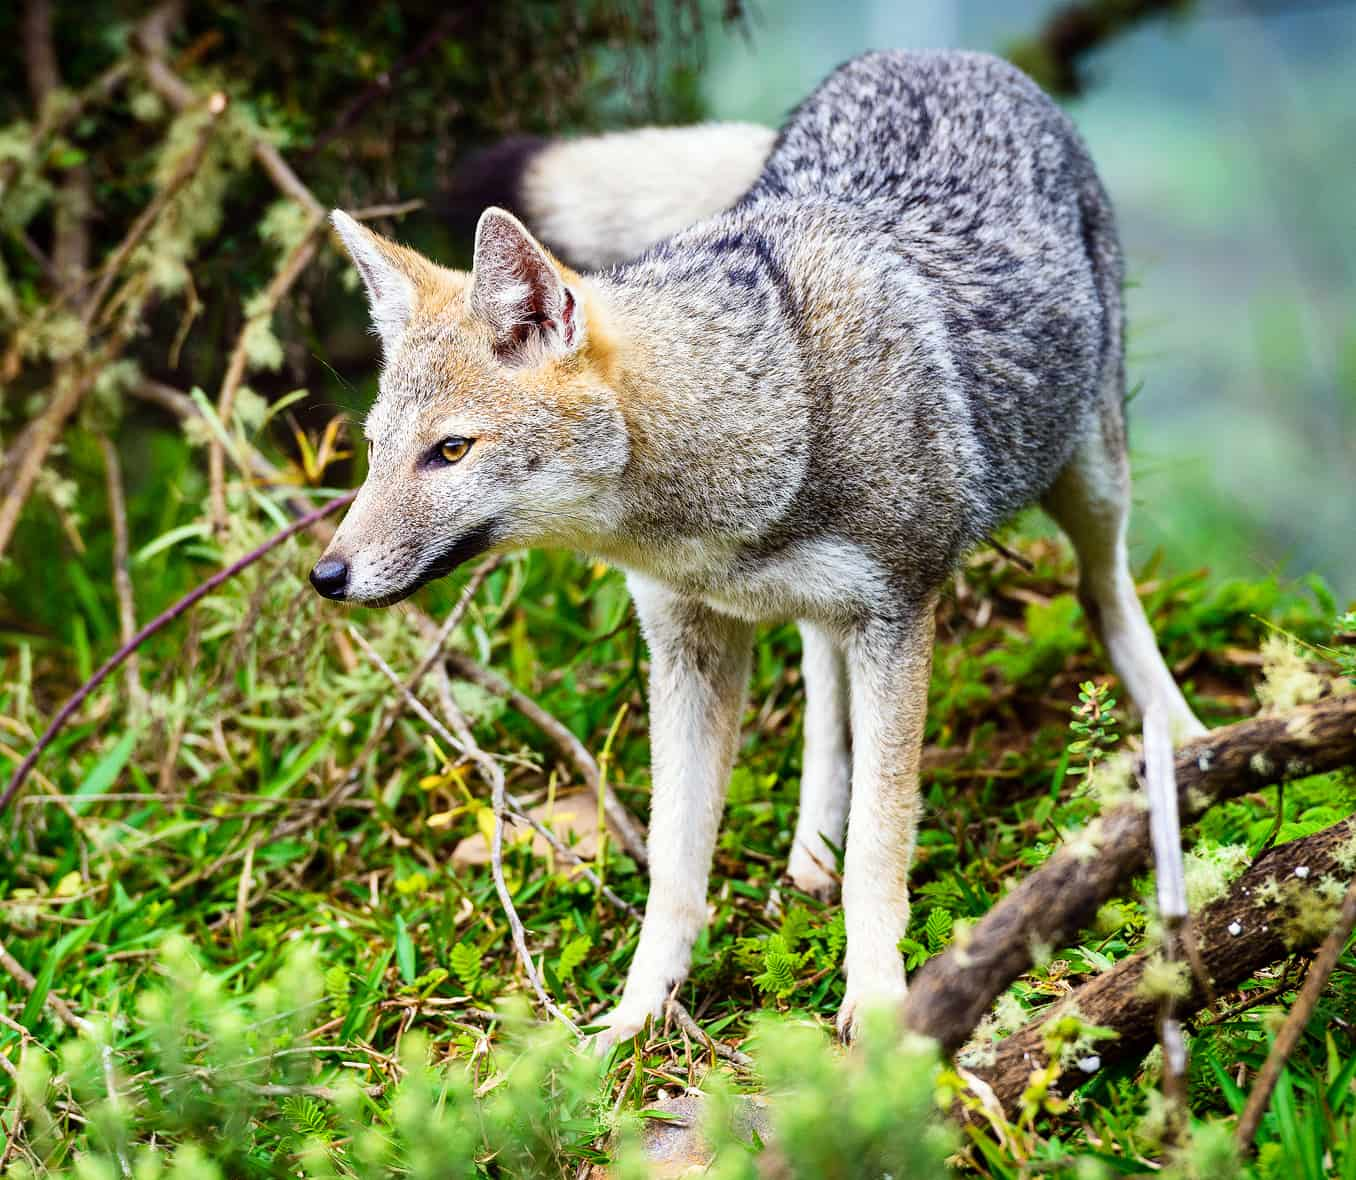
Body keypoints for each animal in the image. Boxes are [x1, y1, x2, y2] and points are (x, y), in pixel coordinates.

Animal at [314, 50, 1209, 1052]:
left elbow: (881, 851)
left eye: (450, 451)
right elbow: (674, 868)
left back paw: (1189, 744)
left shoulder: (901, 614)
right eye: (374, 450)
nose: (326, 575)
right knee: (823, 675)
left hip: (1090, 483)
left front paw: (880, 1004)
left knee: (1105, 595)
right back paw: (812, 840)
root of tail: (938, 56)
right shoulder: (688, 644)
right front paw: (634, 1018)